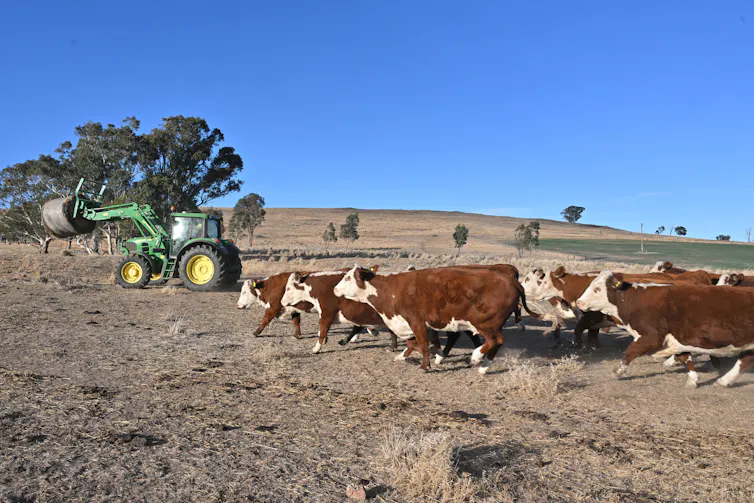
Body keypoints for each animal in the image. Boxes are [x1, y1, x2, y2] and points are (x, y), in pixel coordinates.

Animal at [333, 264, 534, 373]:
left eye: (348, 278)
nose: (334, 289)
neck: (391, 290)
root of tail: (510, 279)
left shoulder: (417, 322)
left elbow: (422, 344)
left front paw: (425, 365)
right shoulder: (412, 325)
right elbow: (414, 344)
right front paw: (407, 356)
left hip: (486, 323)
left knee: (495, 340)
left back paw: (477, 357)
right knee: (494, 341)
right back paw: (483, 367)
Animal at [576, 271, 754, 388]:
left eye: (597, 289)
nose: (579, 302)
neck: (634, 300)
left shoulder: (652, 337)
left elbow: (631, 351)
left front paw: (617, 371)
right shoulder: (675, 339)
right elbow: (685, 357)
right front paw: (692, 379)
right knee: (745, 360)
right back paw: (724, 380)